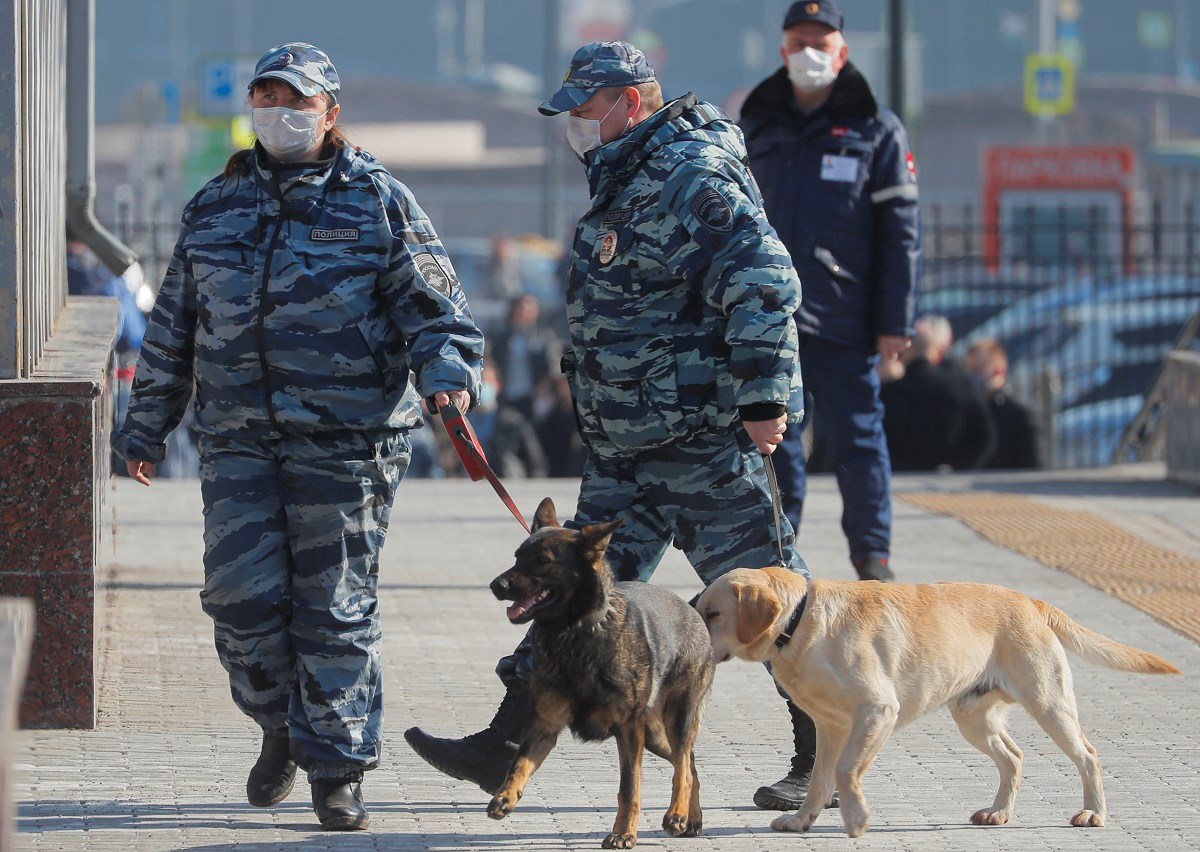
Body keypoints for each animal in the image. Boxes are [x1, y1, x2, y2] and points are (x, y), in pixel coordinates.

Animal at [484, 496, 710, 849]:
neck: (574, 633)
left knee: (683, 766)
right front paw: (505, 796)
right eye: (517, 557)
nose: (497, 585)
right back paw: (692, 817)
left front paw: (624, 833)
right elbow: (519, 764)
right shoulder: (544, 725)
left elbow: (629, 788)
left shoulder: (629, 731)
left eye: (543, 560)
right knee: (689, 765)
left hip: (676, 720)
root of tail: (691, 608)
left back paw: (677, 814)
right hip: (655, 736)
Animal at [696, 566, 1180, 840]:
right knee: (1014, 757)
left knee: (1089, 755)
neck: (800, 622)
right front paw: (801, 821)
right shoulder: (830, 726)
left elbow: (847, 772)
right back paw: (999, 812)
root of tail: (1030, 601)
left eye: (713, 613)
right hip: (972, 716)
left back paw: (1093, 812)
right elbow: (819, 781)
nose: (690, 634)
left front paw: (856, 818)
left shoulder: (876, 711)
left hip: (1049, 702)